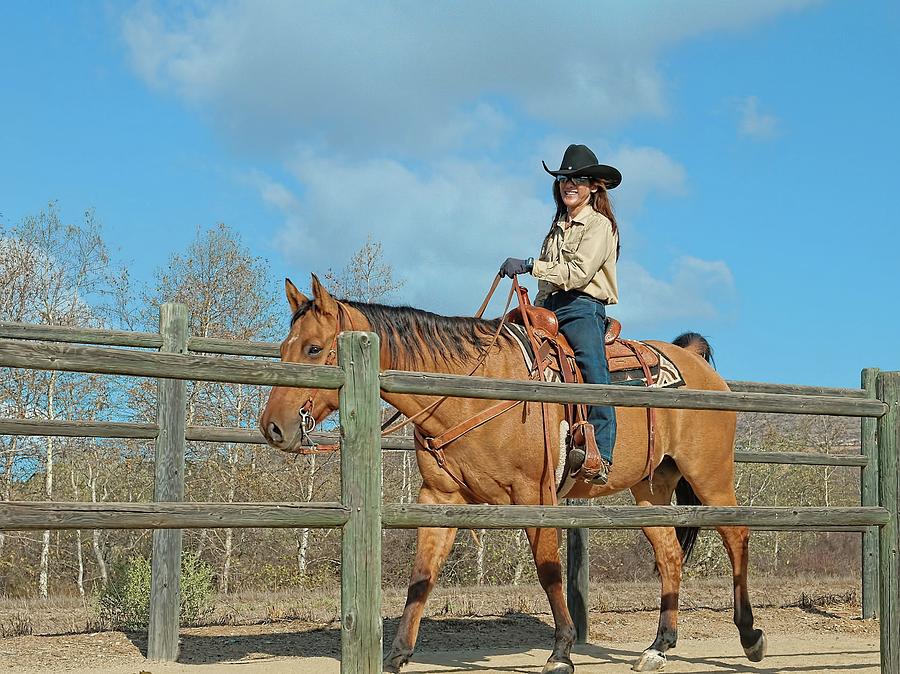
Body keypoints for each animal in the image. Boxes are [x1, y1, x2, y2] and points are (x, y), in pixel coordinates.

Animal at [260, 274, 768, 672]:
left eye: (314, 348)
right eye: (283, 347)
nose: (273, 427)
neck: (471, 389)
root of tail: (695, 362)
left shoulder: (535, 494)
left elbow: (548, 572)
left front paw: (561, 652)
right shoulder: (439, 498)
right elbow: (422, 575)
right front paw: (397, 655)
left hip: (709, 477)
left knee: (737, 535)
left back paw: (749, 636)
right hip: (651, 489)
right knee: (670, 556)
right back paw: (658, 647)